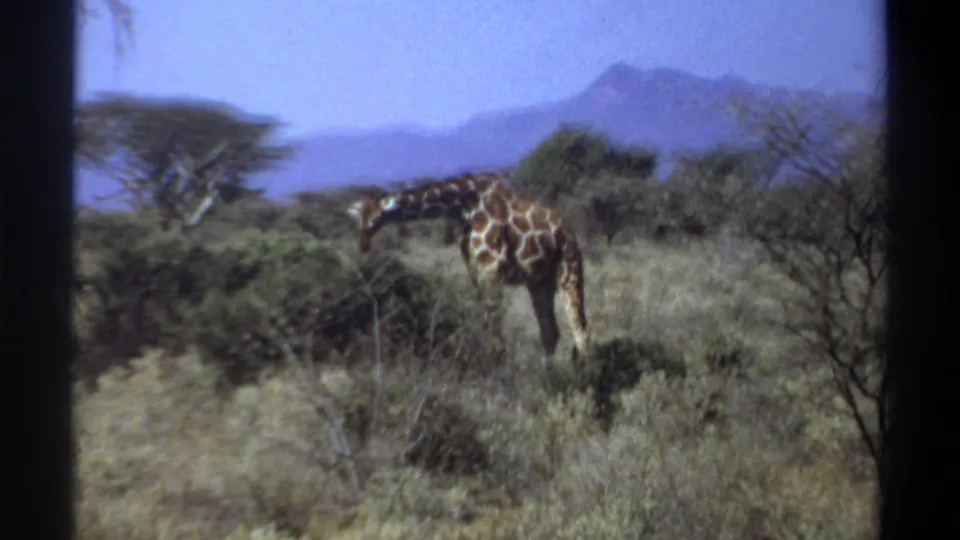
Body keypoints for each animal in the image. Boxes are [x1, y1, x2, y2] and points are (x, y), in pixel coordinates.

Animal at [345, 171, 590, 366]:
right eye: (358, 219)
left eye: (377, 217)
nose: (362, 245)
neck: (464, 207)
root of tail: (568, 231)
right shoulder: (475, 271)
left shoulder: (493, 269)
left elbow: (495, 328)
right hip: (539, 281)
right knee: (551, 333)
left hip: (569, 270)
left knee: (580, 330)